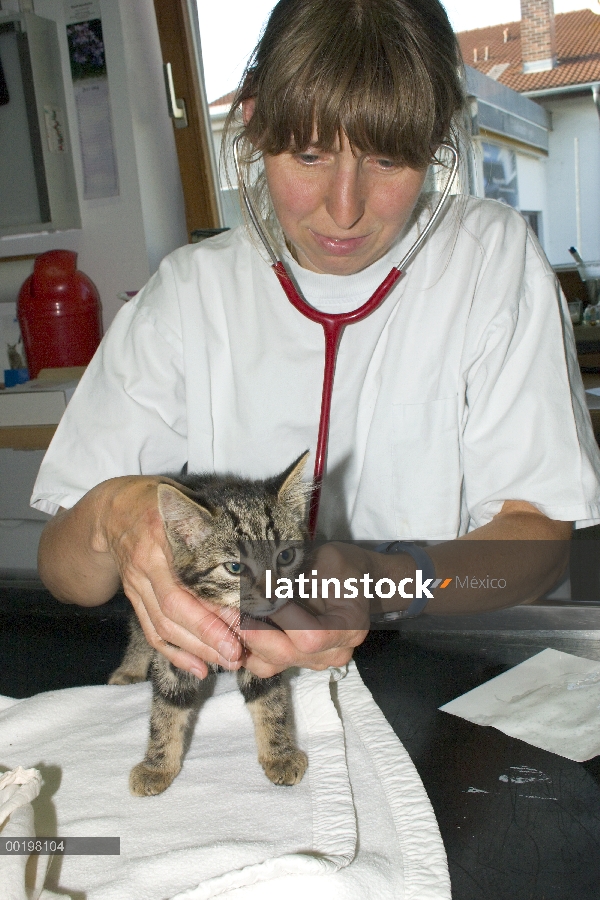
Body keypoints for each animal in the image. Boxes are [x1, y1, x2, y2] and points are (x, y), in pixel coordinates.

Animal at [108, 454, 312, 800]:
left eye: (285, 556)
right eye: (235, 567)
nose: (274, 595)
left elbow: (270, 698)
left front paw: (280, 753)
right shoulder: (174, 638)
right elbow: (168, 705)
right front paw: (157, 766)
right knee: (138, 629)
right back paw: (129, 669)